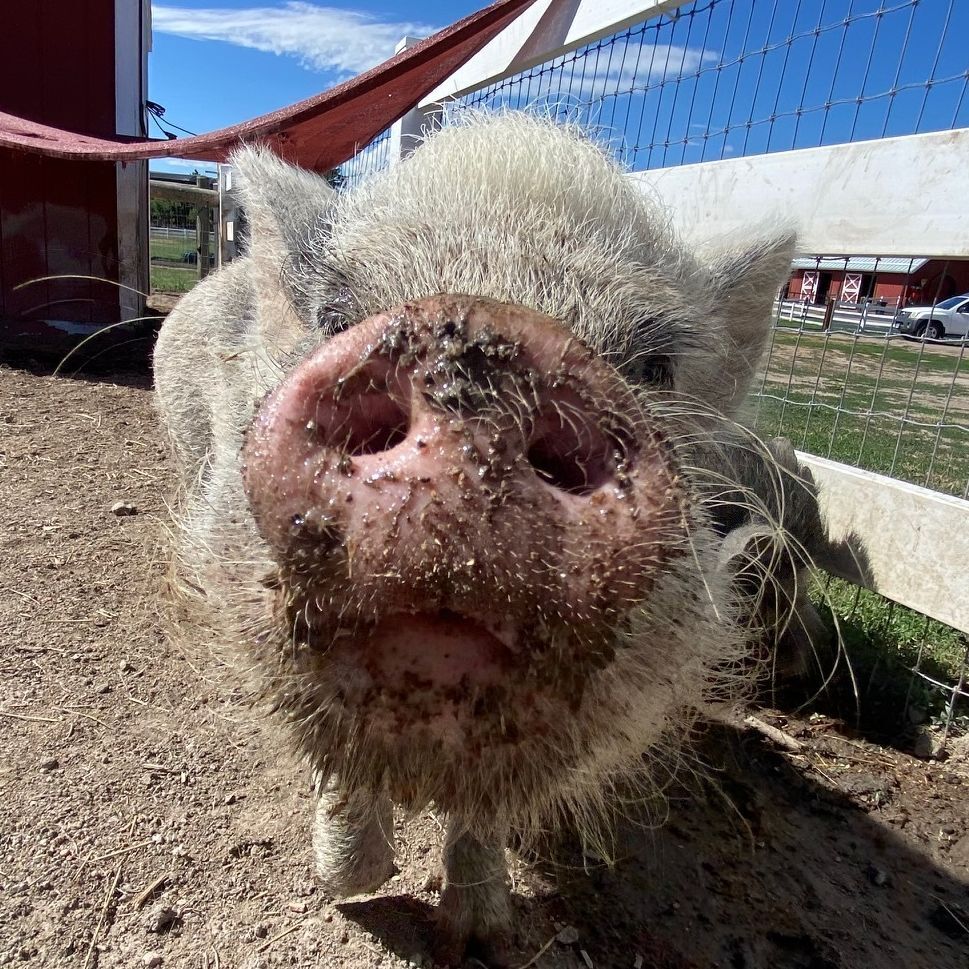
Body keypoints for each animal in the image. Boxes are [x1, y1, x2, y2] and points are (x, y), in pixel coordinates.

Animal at [159, 111, 808, 960]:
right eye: (334, 316)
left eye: (655, 367)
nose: (497, 342)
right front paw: (349, 884)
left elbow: (482, 816)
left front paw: (482, 934)